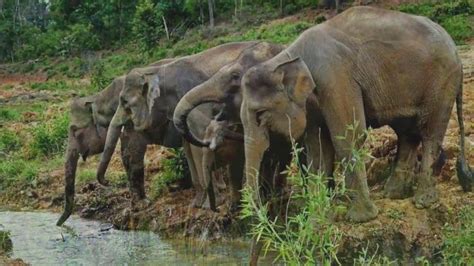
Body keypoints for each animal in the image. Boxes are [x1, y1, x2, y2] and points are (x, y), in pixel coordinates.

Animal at [96, 41, 260, 208]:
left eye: (125, 103)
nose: (107, 181)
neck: (157, 71)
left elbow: (198, 148)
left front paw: (209, 205)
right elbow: (188, 148)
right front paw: (196, 204)